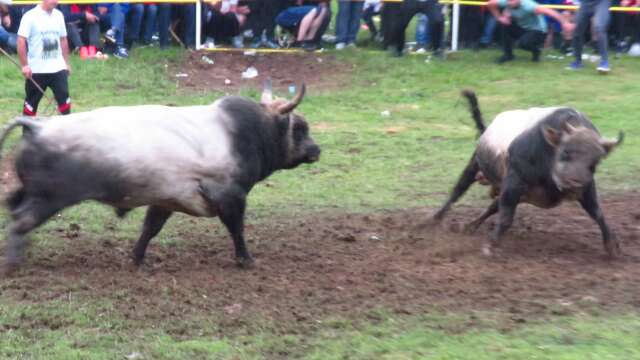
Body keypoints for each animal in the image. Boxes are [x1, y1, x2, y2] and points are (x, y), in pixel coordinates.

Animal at [0, 80, 320, 272]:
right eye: (300, 127)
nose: (316, 150)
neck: (241, 132)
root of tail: (38, 126)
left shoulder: (166, 200)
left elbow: (149, 229)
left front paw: (138, 259)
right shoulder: (231, 197)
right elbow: (237, 229)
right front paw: (246, 260)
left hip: (30, 192)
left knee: (13, 209)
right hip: (47, 199)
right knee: (21, 221)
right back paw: (14, 262)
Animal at [432, 91, 624, 258]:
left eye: (595, 162)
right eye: (565, 152)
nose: (574, 185)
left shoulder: (587, 188)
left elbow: (598, 213)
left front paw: (611, 245)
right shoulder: (514, 183)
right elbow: (506, 218)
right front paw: (491, 246)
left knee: (493, 206)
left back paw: (470, 226)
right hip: (476, 165)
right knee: (458, 191)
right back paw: (433, 220)